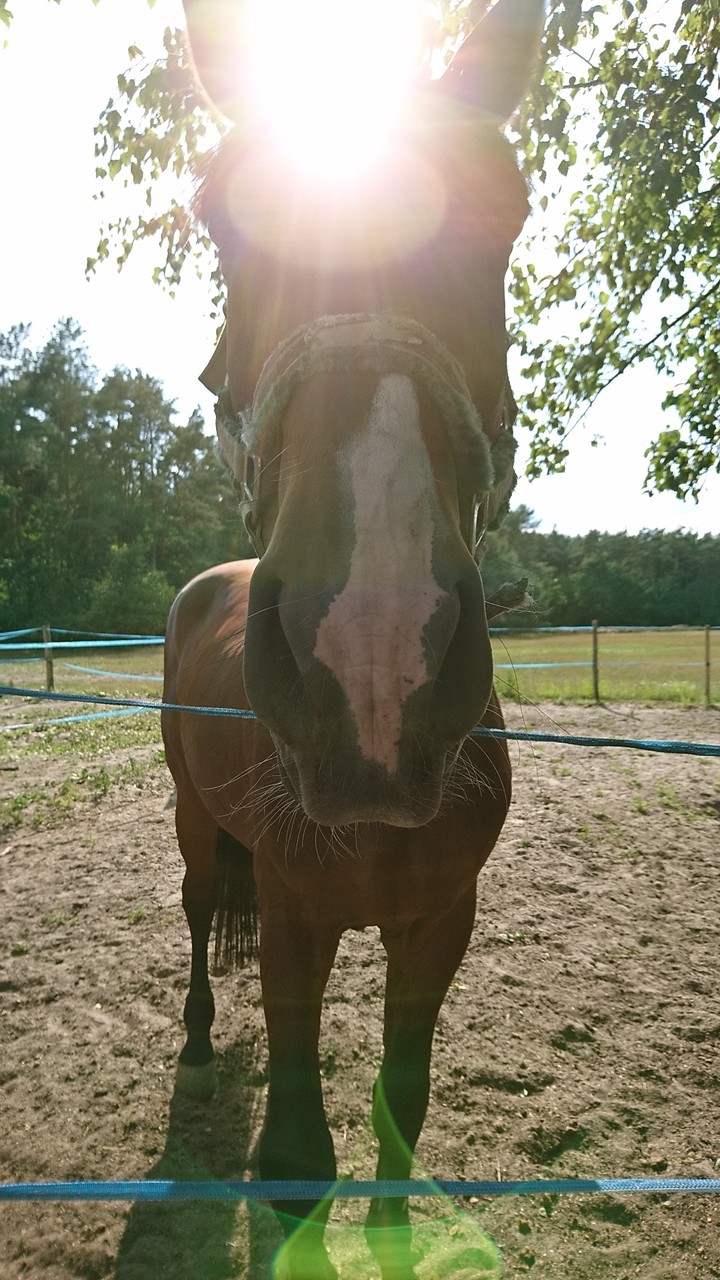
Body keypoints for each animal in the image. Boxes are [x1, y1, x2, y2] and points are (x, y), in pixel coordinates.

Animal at [162, 2, 543, 1276]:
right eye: (219, 214)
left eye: (506, 208)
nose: (374, 657)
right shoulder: (293, 911)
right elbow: (293, 1152)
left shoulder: (440, 920)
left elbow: (401, 1099)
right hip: (193, 822)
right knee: (195, 913)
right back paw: (194, 1047)